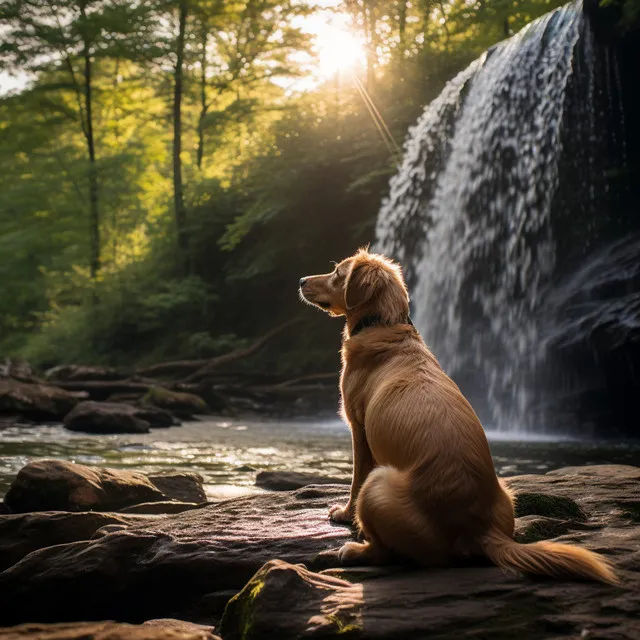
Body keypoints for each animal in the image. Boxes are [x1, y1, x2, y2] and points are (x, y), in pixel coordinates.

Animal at [300, 248, 616, 584]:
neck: (383, 324)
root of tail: (479, 530)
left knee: (385, 550)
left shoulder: (358, 429)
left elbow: (355, 479)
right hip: (507, 493)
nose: (301, 280)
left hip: (378, 484)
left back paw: (355, 551)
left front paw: (345, 515)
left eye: (337, 273)